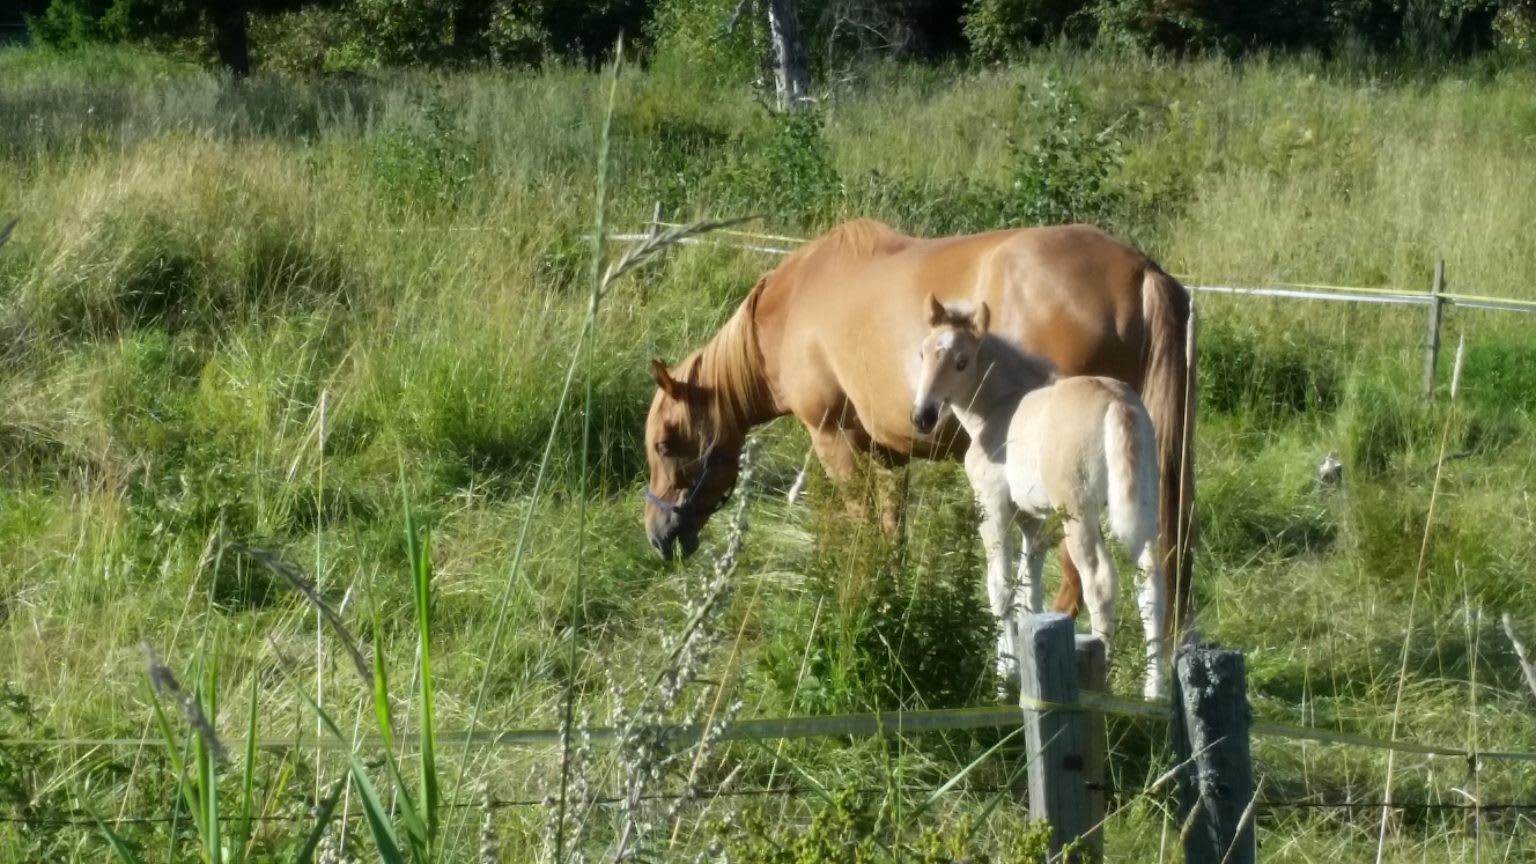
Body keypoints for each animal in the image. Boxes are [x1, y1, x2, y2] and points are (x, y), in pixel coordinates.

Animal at [642, 215, 1191, 633]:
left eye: (666, 444)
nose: (657, 535)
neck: (793, 304)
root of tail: (1139, 269)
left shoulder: (834, 441)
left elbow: (862, 523)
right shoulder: (890, 454)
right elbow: (891, 530)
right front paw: (891, 591)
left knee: (1080, 572)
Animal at [909, 292, 1161, 694]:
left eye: (962, 362)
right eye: (923, 353)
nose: (923, 417)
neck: (1000, 407)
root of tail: (1117, 402)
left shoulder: (993, 506)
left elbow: (1000, 586)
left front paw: (1004, 678)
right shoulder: (1034, 520)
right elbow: (1031, 589)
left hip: (1079, 514)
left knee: (1100, 582)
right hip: (1142, 506)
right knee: (1149, 579)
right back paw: (1155, 691)